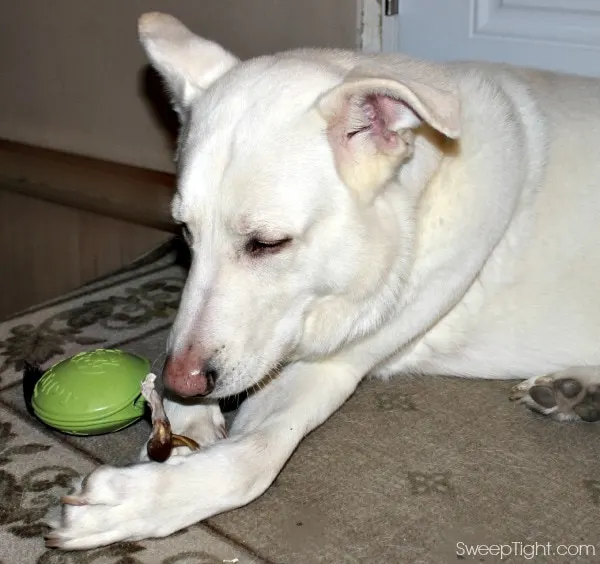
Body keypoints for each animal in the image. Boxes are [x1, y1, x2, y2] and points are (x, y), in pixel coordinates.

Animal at [45, 14, 600, 552]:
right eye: (185, 232)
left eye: (268, 243)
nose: (181, 382)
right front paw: (181, 422)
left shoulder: (331, 365)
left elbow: (253, 460)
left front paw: (136, 501)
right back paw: (575, 392)